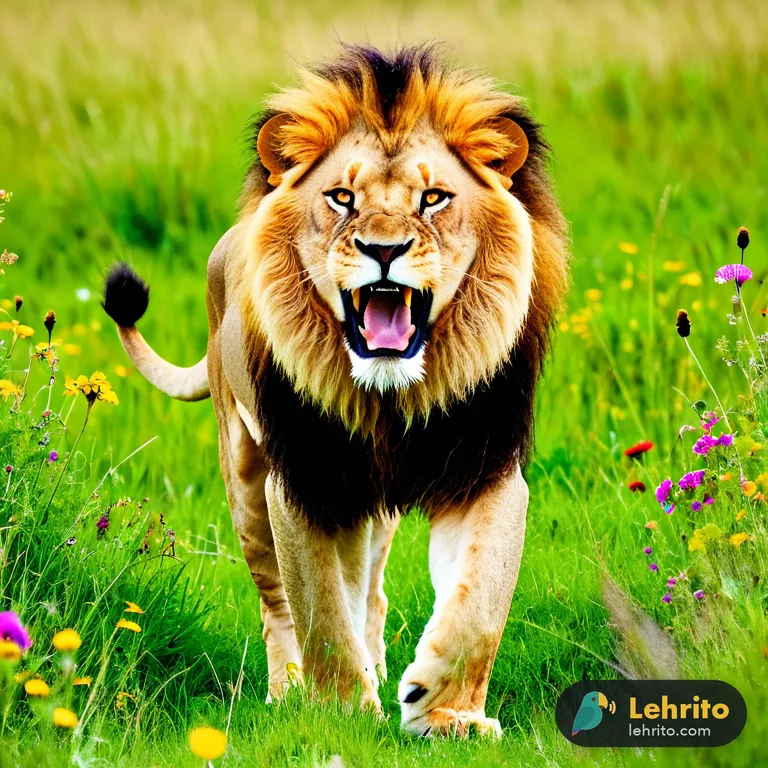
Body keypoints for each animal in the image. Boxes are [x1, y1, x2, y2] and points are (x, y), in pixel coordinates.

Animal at [103, 44, 568, 737]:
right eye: (342, 198)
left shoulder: (483, 468)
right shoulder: (304, 479)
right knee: (278, 601)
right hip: (247, 480)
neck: (388, 401)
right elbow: (319, 609)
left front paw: (443, 709)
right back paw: (287, 690)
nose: (384, 249)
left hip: (371, 511)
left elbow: (479, 601)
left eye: (434, 198)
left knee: (369, 590)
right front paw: (344, 715)